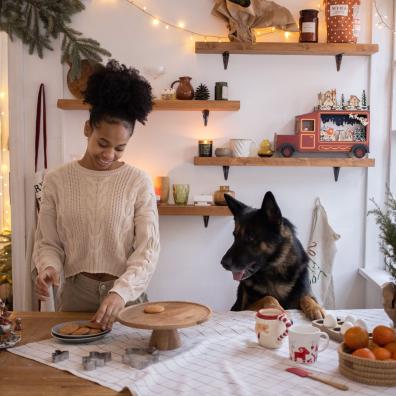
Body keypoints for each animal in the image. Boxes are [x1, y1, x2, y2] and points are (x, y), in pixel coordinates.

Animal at [221, 190, 326, 320]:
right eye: (235, 236)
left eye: (250, 237)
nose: (223, 263)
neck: (275, 271)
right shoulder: (243, 308)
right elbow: (268, 297)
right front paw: (275, 308)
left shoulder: (307, 295)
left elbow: (306, 297)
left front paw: (315, 308)